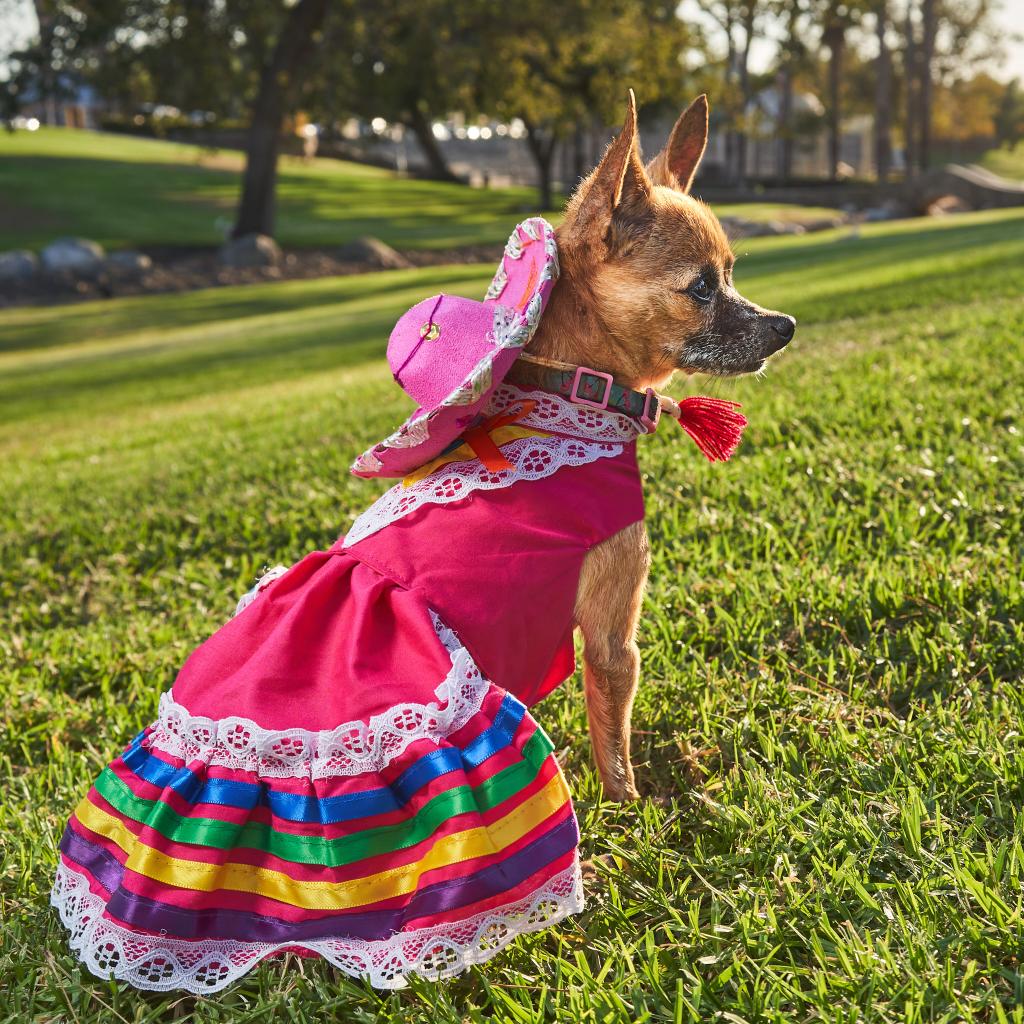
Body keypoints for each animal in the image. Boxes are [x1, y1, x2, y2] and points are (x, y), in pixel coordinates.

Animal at [507, 94, 794, 798]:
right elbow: (614, 746)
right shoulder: (613, 641)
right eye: (702, 287)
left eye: (731, 274)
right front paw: (633, 809)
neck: (573, 398)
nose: (787, 326)